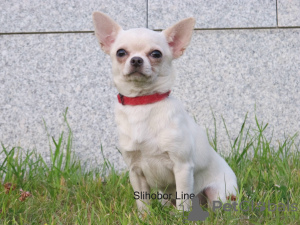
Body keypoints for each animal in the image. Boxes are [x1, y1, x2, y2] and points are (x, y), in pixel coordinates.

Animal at [92, 11, 238, 213]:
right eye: (121, 52)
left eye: (156, 54)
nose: (136, 59)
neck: (143, 104)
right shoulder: (135, 170)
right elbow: (142, 201)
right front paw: (144, 216)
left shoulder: (182, 167)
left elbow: (183, 199)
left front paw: (180, 217)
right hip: (164, 196)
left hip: (218, 194)